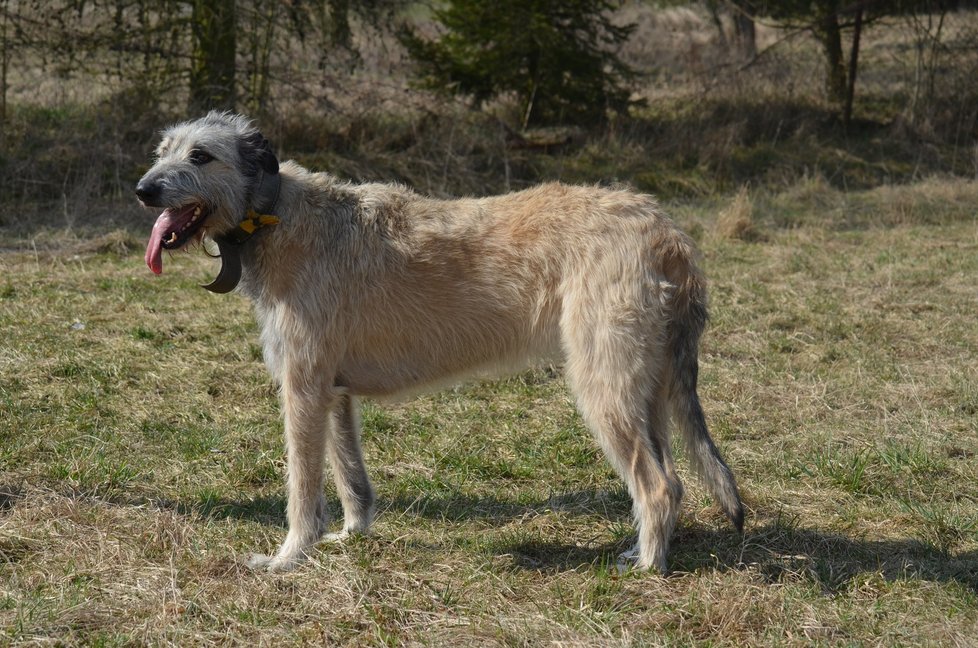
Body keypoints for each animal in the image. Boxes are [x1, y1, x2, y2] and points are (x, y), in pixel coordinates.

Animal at [135, 111, 740, 572]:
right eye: (163, 151)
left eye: (201, 156)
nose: (143, 189)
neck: (276, 213)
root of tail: (668, 233)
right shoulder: (334, 390)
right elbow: (351, 476)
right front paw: (351, 536)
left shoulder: (303, 387)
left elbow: (303, 485)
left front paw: (288, 558)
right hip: (645, 387)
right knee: (672, 478)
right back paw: (644, 551)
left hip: (603, 385)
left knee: (658, 486)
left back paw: (648, 568)